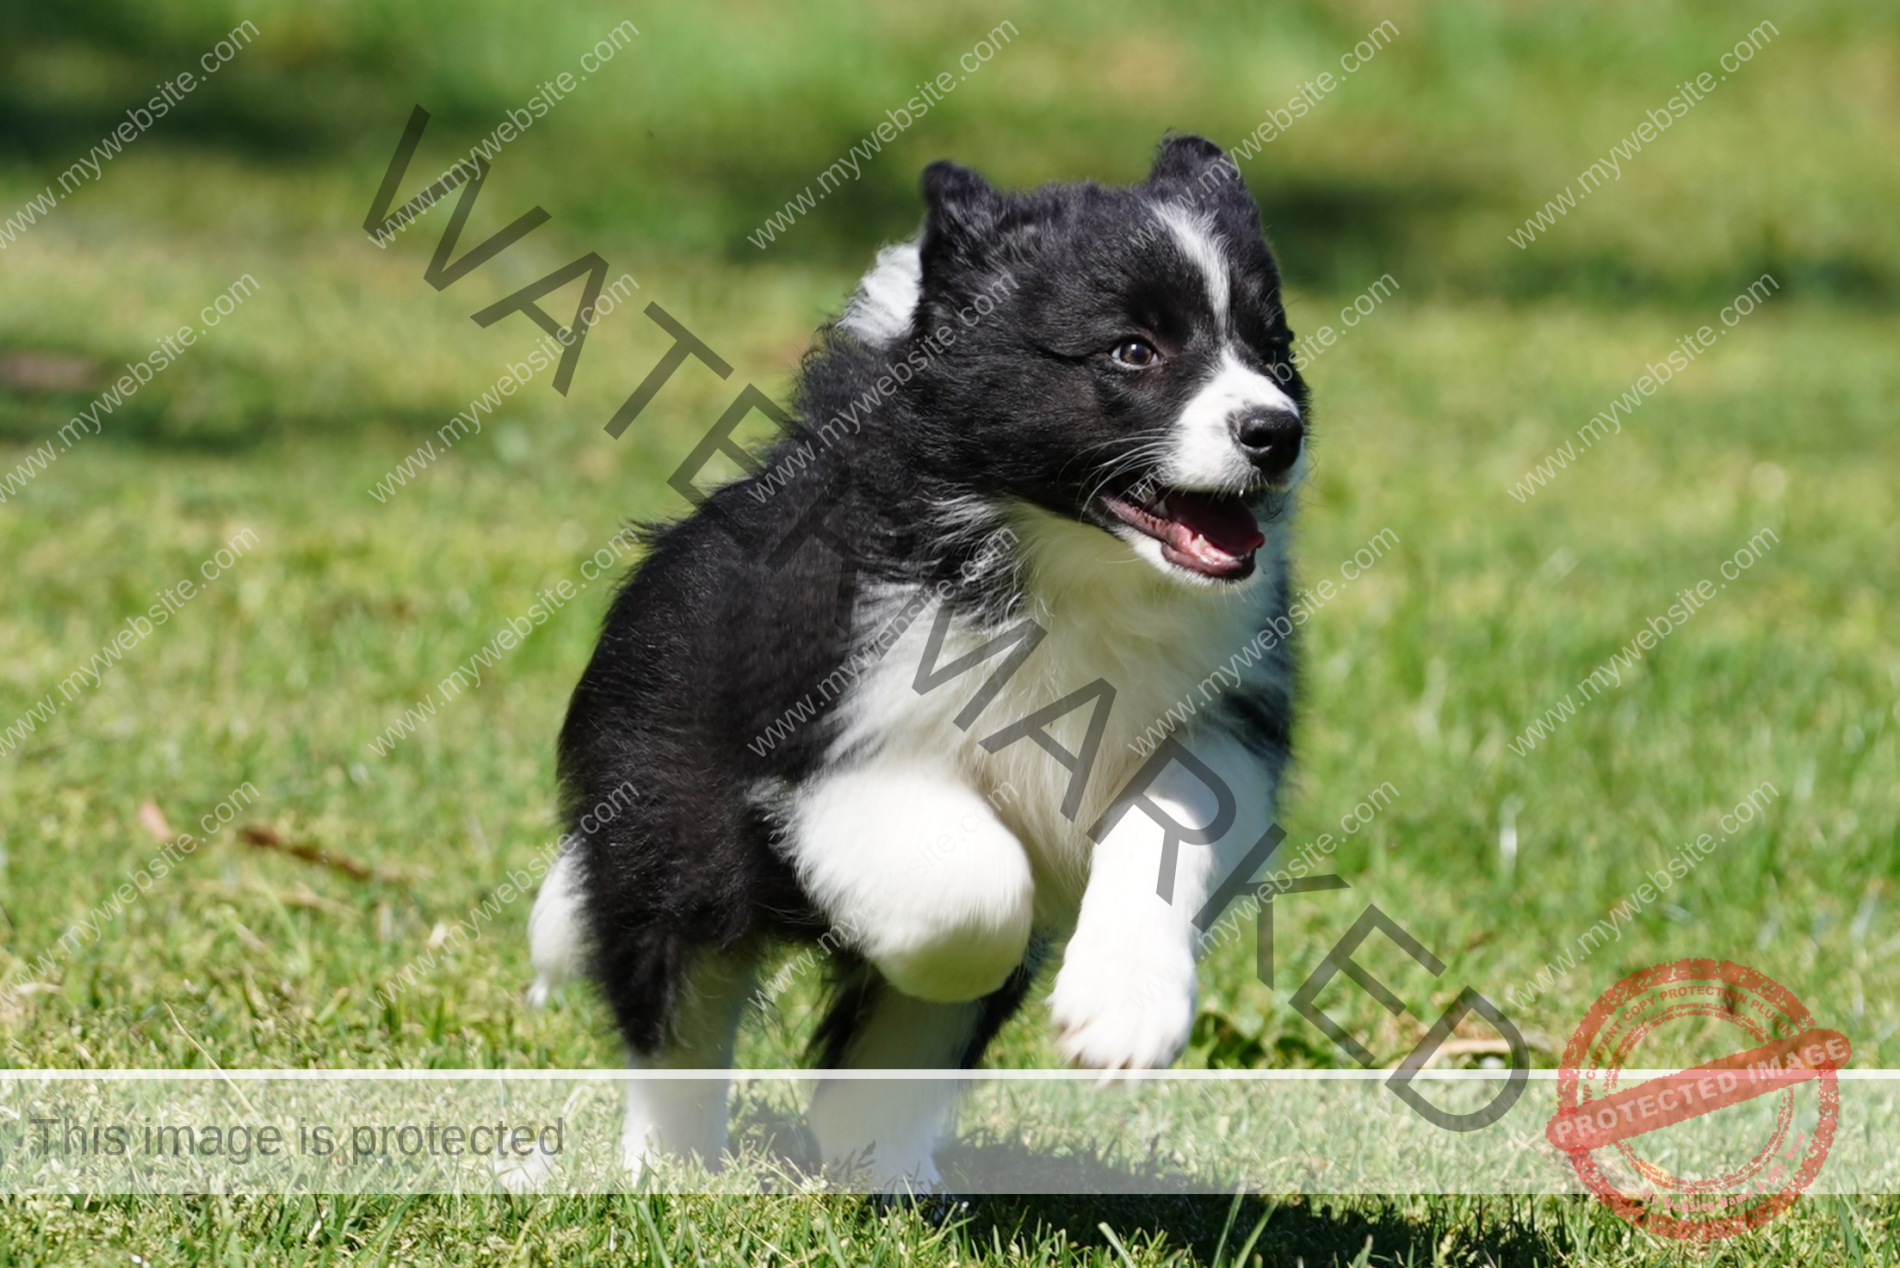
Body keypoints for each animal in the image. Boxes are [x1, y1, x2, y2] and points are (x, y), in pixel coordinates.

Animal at [532, 134, 1307, 1186]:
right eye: (1134, 350)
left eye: (1274, 353)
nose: (1277, 432)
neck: (1063, 565)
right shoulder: (837, 737)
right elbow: (975, 897)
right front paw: (909, 941)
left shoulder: (1219, 723)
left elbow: (1168, 833)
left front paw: (1122, 1015)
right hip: (665, 825)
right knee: (678, 1009)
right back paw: (675, 1170)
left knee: (902, 1050)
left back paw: (886, 1175)